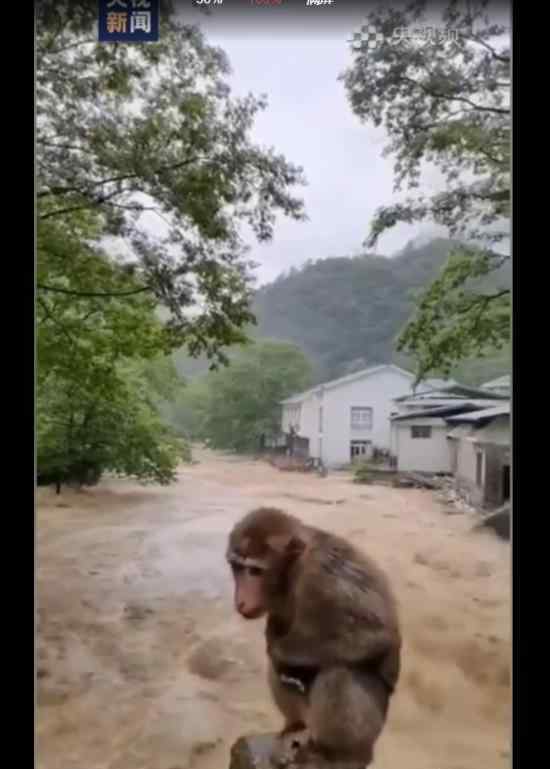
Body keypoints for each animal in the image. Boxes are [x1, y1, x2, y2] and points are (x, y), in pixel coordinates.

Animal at [226, 508, 404, 764]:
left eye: (255, 571)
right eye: (237, 568)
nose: (240, 601)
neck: (292, 572)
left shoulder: (325, 578)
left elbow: (376, 633)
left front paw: (281, 650)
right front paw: (273, 634)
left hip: (373, 725)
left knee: (340, 672)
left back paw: (334, 753)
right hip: (307, 714)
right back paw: (294, 726)